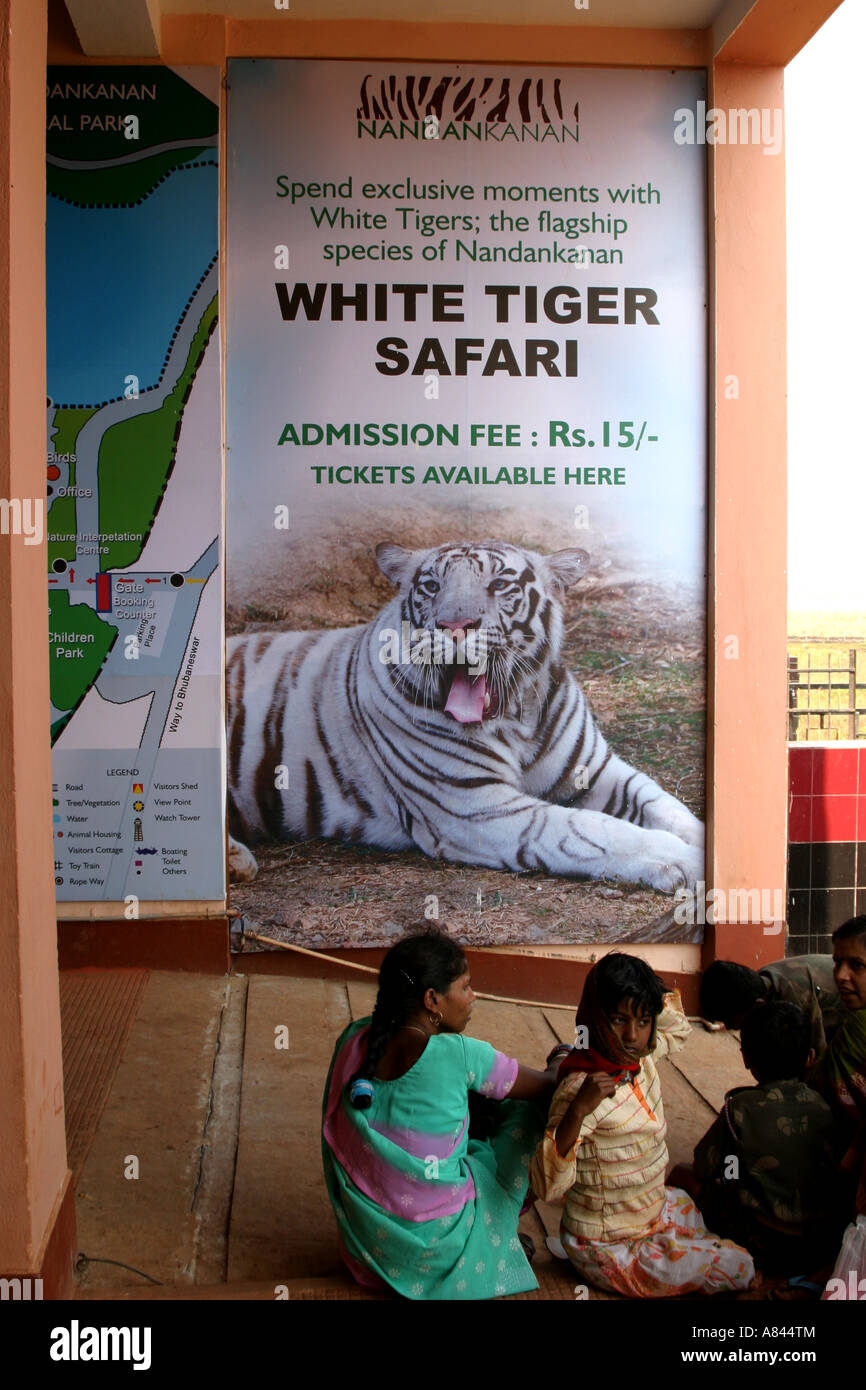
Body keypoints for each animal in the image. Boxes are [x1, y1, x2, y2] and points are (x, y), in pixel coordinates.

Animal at [225, 542, 706, 889]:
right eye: (431, 586)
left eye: (500, 584)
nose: (454, 627)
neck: (517, 716)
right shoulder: (474, 804)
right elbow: (591, 830)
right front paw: (680, 860)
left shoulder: (598, 769)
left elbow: (666, 805)